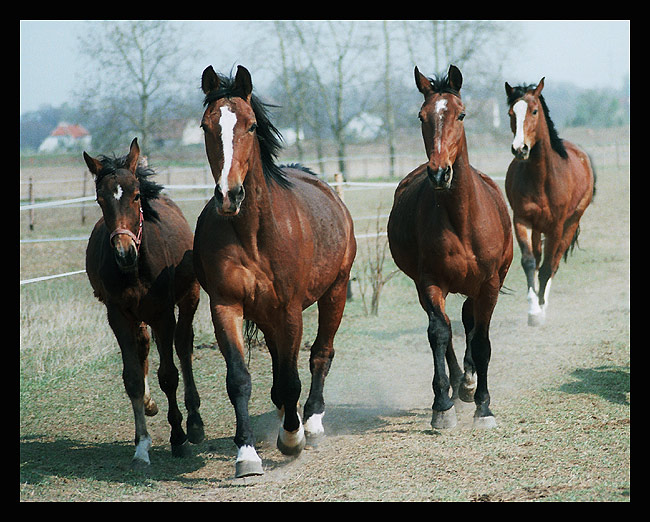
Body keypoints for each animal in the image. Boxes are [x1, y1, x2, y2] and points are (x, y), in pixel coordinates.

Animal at [83, 137, 202, 464]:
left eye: (136, 196)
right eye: (100, 199)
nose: (124, 252)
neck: (136, 270)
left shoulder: (163, 314)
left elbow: (169, 375)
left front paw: (179, 437)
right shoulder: (119, 315)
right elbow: (133, 378)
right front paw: (141, 444)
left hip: (188, 298)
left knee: (184, 346)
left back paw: (195, 423)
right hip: (138, 316)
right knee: (144, 347)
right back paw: (150, 406)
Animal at [194, 65, 354, 476]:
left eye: (251, 126)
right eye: (206, 126)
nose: (229, 195)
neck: (253, 234)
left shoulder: (290, 309)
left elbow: (292, 377)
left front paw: (292, 439)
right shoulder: (226, 307)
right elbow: (239, 379)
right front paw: (247, 454)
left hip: (335, 292)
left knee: (320, 354)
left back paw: (310, 421)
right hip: (266, 315)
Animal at [384, 65, 512, 428]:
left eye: (461, 114)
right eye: (421, 115)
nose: (440, 173)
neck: (463, 219)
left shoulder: (490, 284)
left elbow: (481, 340)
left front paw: (484, 406)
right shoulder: (430, 281)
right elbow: (439, 333)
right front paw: (442, 405)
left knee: (469, 320)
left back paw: (468, 383)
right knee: (448, 327)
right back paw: (458, 384)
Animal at [504, 76, 596, 322]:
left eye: (534, 111)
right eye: (511, 113)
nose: (520, 149)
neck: (542, 178)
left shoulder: (556, 226)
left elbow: (547, 267)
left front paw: (541, 309)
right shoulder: (522, 220)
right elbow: (529, 262)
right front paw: (532, 309)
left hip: (570, 224)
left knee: (553, 262)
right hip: (538, 227)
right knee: (537, 259)